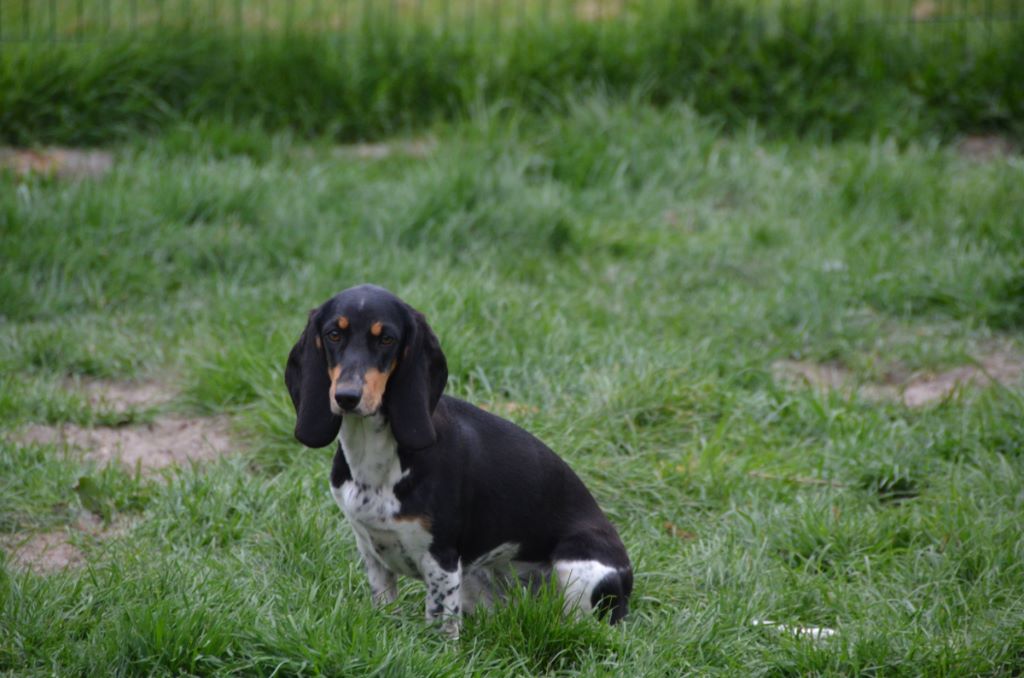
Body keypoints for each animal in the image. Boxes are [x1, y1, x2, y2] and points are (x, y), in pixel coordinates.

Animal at [284, 284, 626, 639]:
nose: (347, 397)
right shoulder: (372, 553)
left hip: (581, 569)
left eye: (387, 339)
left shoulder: (441, 560)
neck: (375, 455)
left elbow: (439, 621)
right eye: (334, 334)